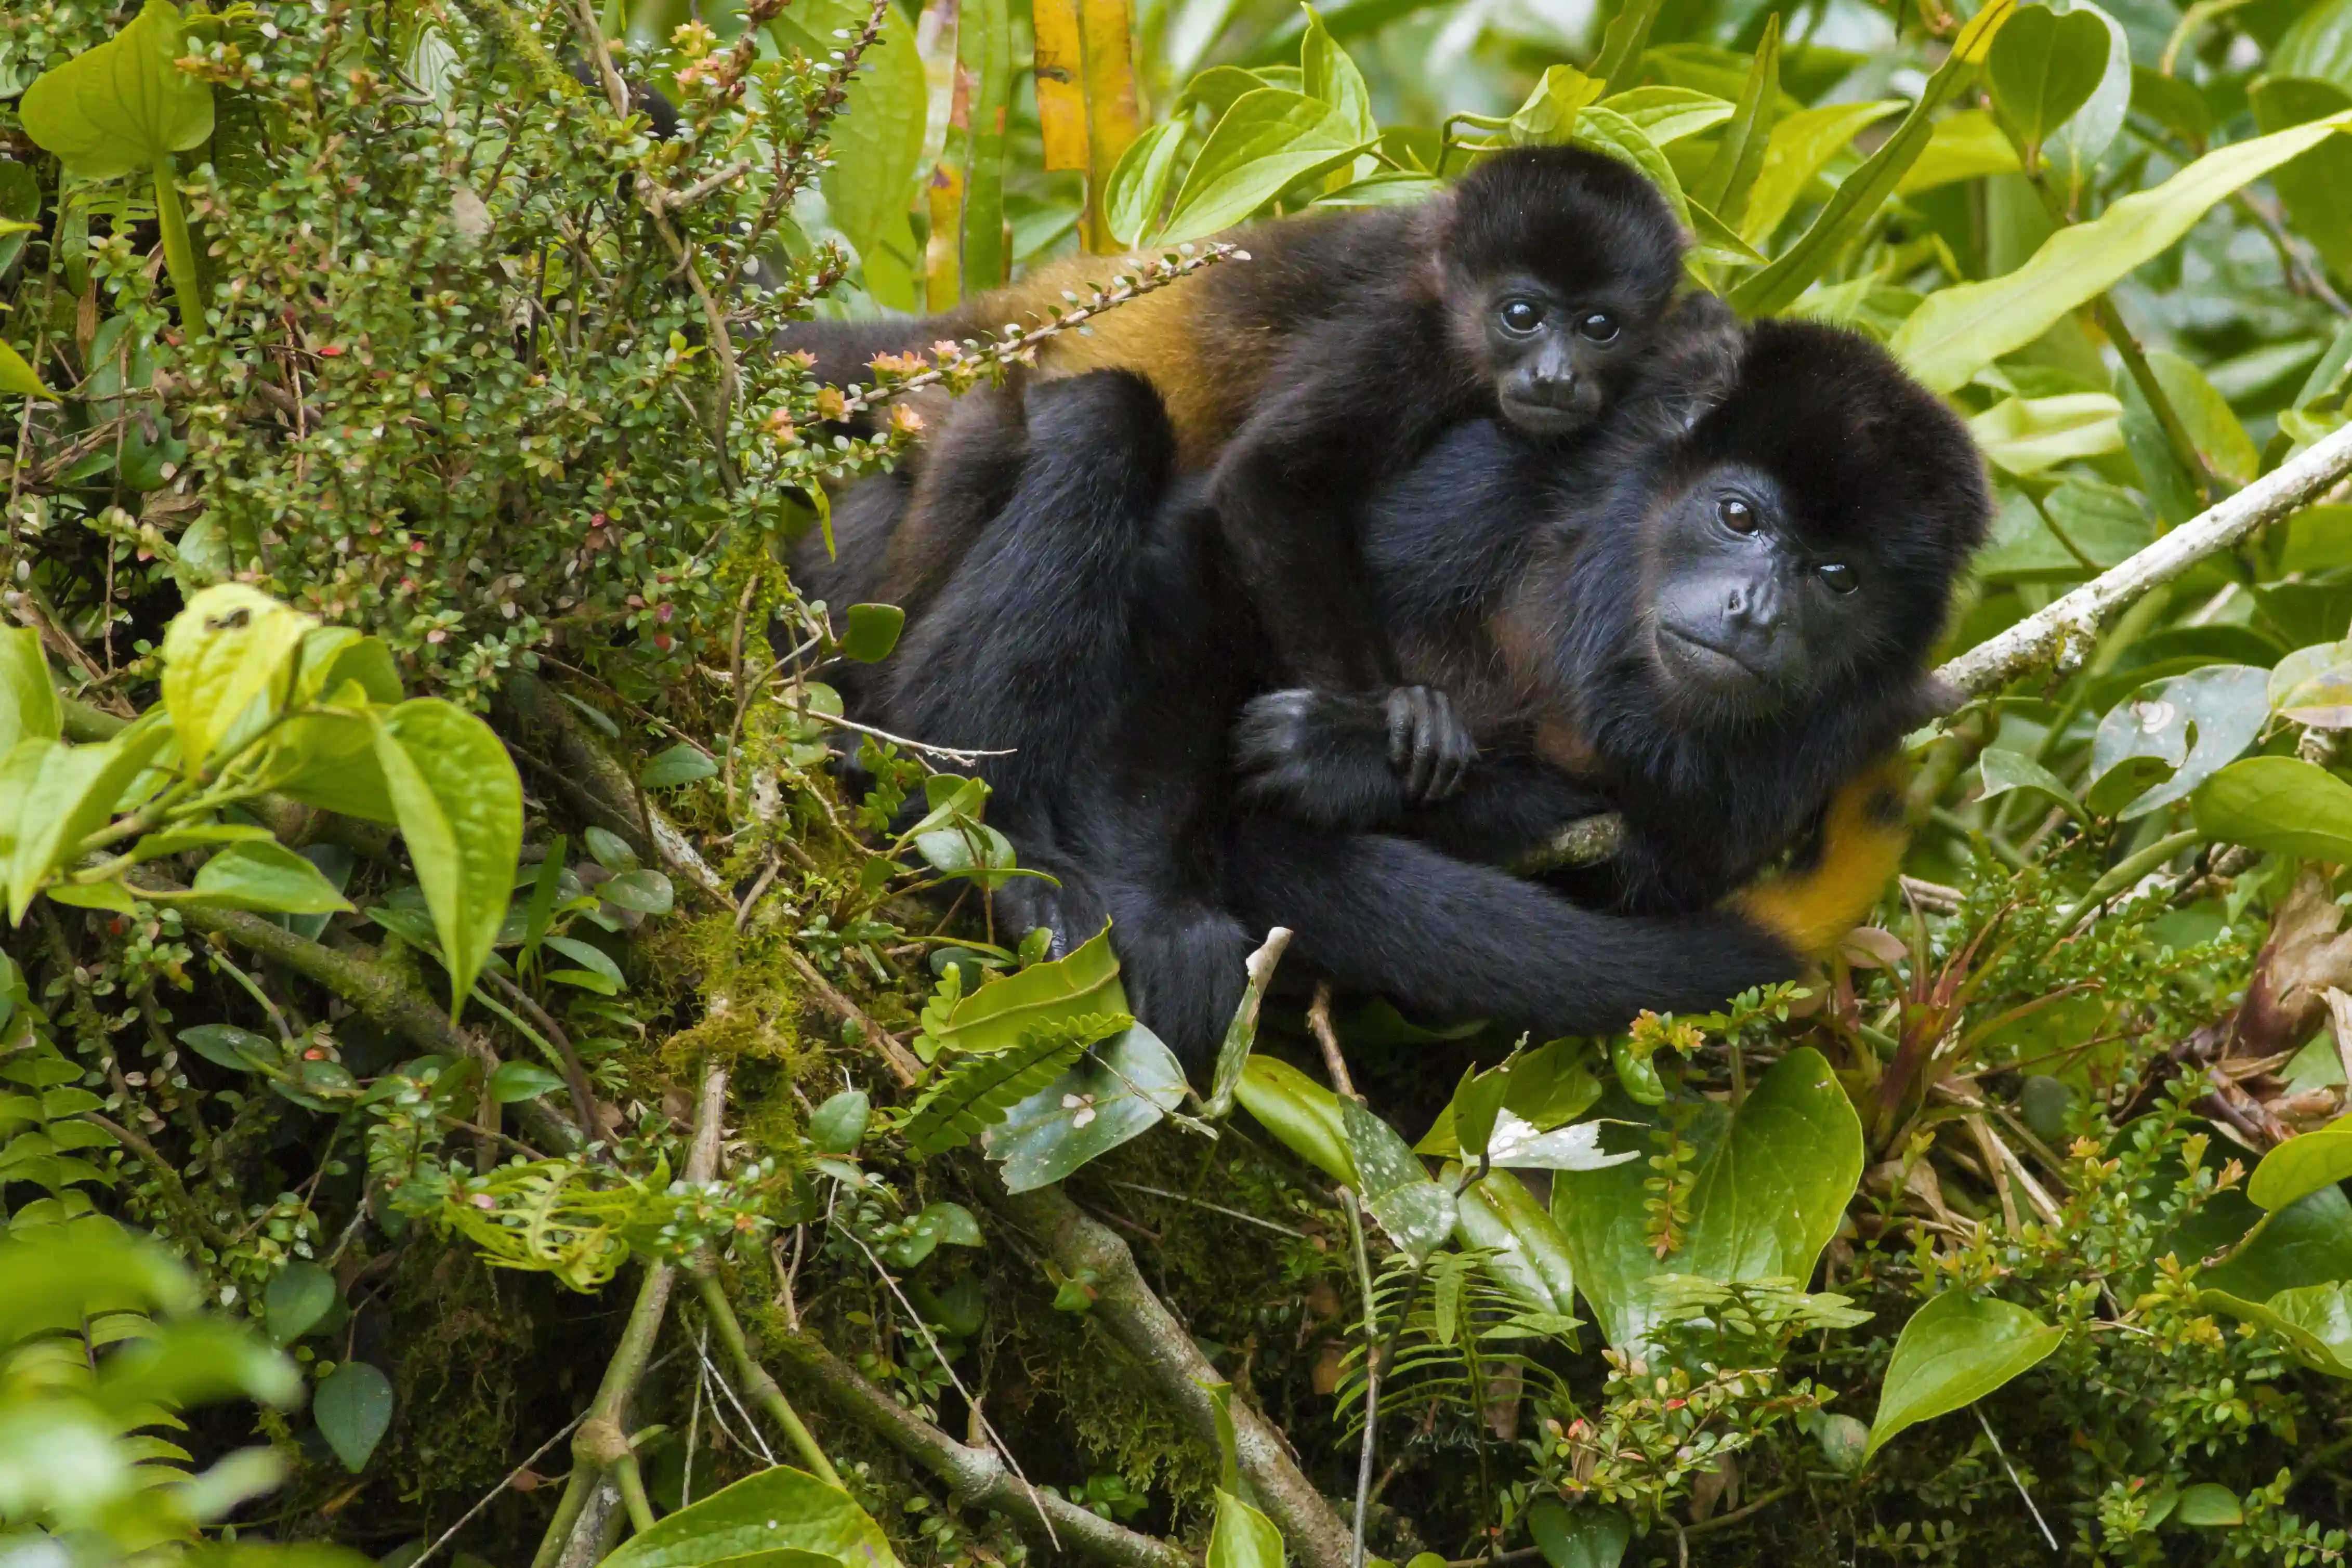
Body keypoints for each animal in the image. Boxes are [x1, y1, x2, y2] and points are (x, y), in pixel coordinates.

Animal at [785, 150, 1693, 799]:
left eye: (1600, 327)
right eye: (1521, 315)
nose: (1554, 377)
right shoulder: (1398, 337)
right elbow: (1268, 479)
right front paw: (1387, 715)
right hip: (950, 403)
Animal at [842, 310, 1985, 1062]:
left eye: (1838, 577)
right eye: (1739, 515)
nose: (1758, 612)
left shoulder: (1799, 762)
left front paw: (1350, 761)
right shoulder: (1491, 483)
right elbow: (1202, 550)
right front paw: (1160, 909)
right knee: (1103, 418)